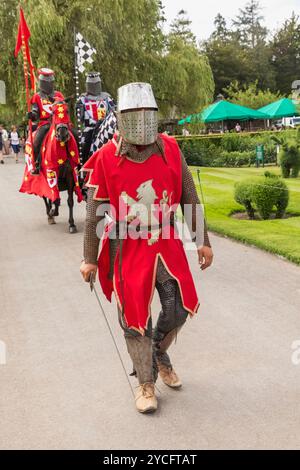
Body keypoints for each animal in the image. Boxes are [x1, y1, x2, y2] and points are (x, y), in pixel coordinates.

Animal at [19, 98, 83, 233]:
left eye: (67, 111)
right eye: (53, 112)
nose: (63, 133)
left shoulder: (70, 175)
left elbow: (69, 201)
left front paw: (72, 224)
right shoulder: (51, 173)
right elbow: (55, 197)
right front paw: (53, 213)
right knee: (46, 196)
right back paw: (50, 214)